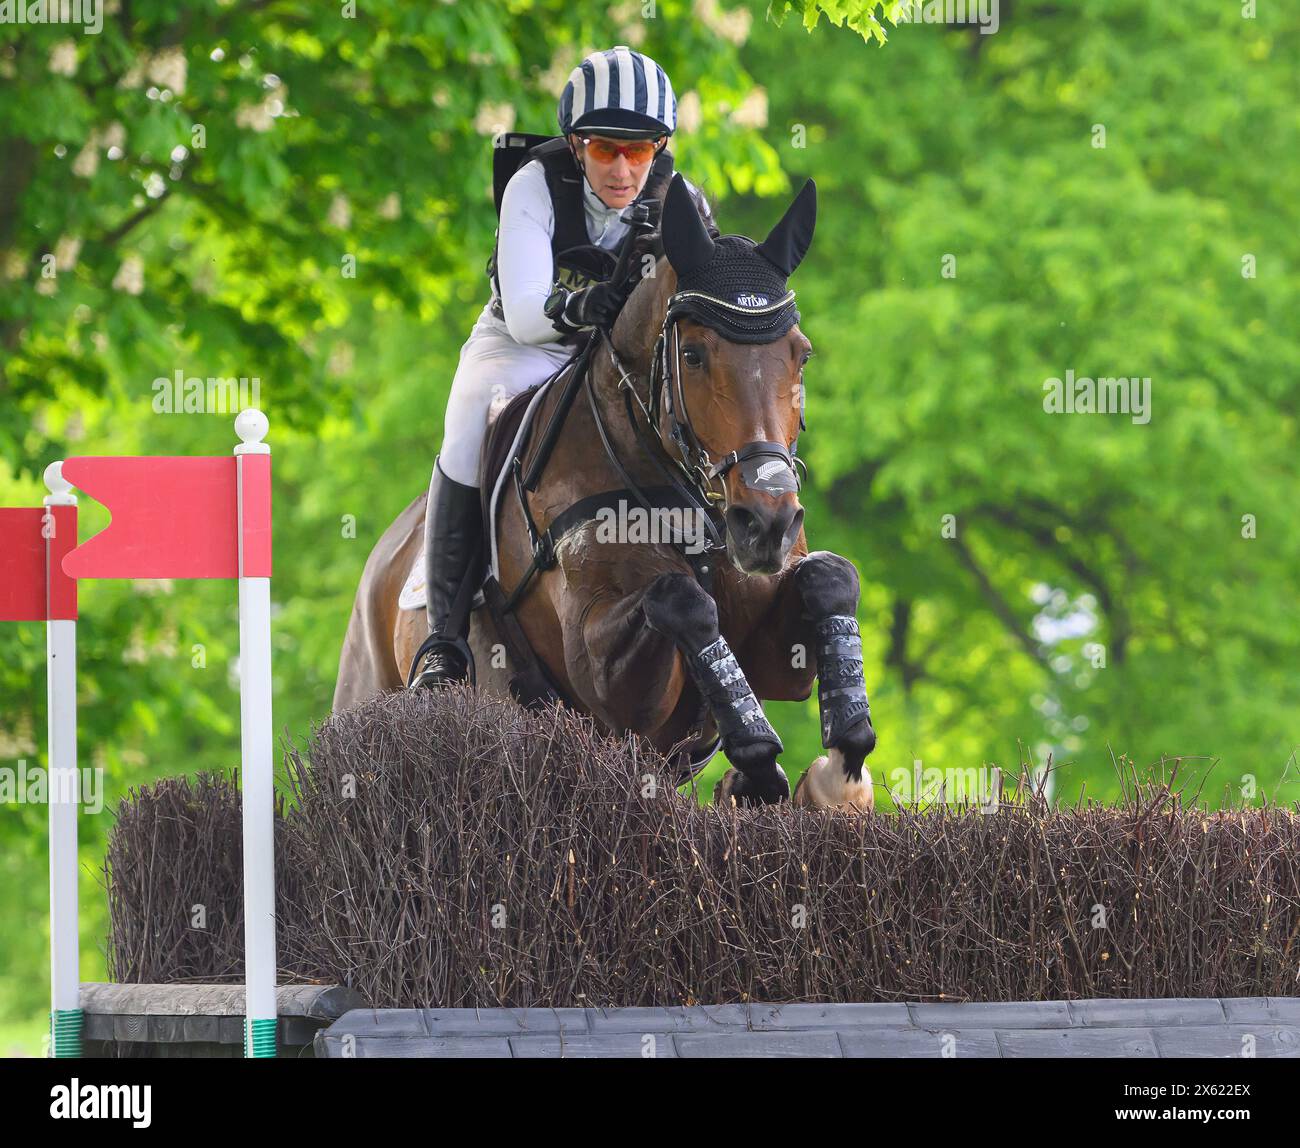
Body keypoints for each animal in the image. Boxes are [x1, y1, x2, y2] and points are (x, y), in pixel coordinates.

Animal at [335, 175, 878, 811]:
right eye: (692, 355)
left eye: (801, 354)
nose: (766, 524)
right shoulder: (603, 677)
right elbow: (680, 600)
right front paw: (758, 758)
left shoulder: (774, 653)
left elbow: (830, 578)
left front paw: (840, 763)